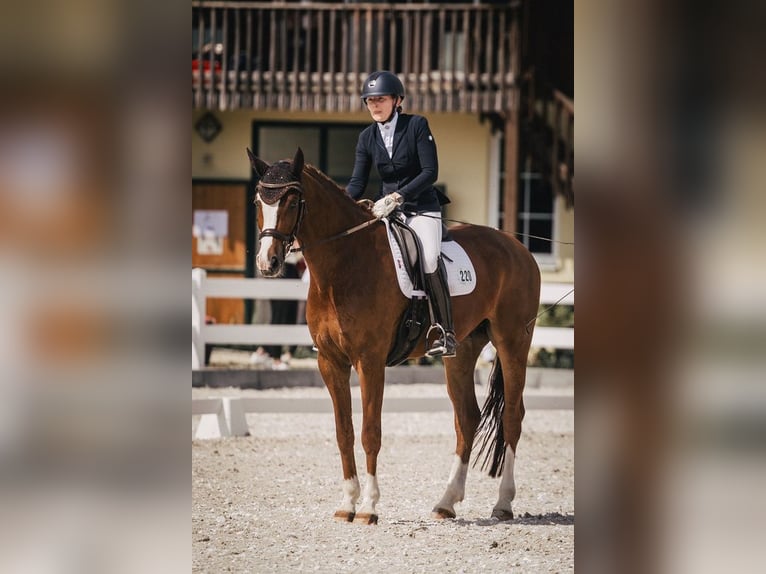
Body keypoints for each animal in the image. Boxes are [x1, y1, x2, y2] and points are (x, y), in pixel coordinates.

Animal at [247, 147, 541, 524]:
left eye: (292, 200)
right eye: (259, 201)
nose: (267, 263)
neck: (343, 265)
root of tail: (518, 248)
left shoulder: (370, 361)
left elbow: (370, 432)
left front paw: (369, 507)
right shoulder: (331, 362)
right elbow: (344, 432)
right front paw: (347, 503)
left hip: (513, 341)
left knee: (512, 416)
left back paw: (503, 503)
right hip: (462, 350)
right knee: (467, 417)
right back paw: (446, 502)